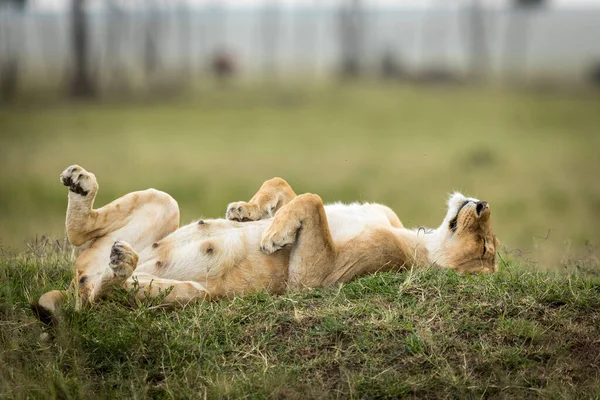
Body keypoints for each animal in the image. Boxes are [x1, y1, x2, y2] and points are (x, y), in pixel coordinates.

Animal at [31, 164, 496, 324]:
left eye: (487, 251)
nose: (483, 204)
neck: (419, 239)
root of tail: (76, 287)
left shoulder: (316, 278)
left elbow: (313, 202)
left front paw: (272, 236)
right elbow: (288, 188)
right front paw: (247, 212)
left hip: (193, 296)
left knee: (105, 299)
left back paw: (121, 263)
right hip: (163, 205)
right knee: (80, 238)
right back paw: (80, 183)